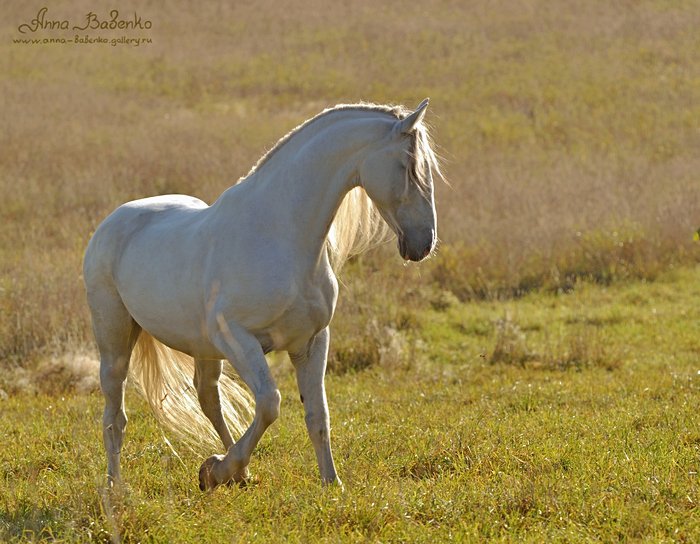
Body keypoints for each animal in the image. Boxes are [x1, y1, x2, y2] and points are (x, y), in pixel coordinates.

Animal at [85, 99, 440, 492]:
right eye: (409, 167)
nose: (423, 243)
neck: (281, 236)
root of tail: (111, 223)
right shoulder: (239, 339)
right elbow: (270, 402)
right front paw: (218, 469)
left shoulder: (312, 342)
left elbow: (318, 415)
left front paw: (331, 483)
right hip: (115, 341)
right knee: (115, 415)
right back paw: (117, 487)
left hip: (203, 349)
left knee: (208, 397)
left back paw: (236, 474)